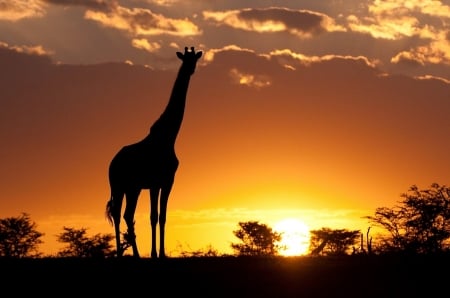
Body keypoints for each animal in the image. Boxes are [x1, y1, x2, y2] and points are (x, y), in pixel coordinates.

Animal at [104, 46, 203, 258]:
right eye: (185, 59)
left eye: (195, 59)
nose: (190, 69)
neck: (168, 137)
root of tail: (112, 163)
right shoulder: (161, 182)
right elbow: (155, 216)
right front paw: (156, 253)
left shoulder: (162, 182)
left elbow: (160, 216)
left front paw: (160, 253)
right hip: (119, 185)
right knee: (119, 214)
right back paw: (125, 253)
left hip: (131, 188)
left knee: (125, 214)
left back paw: (130, 253)